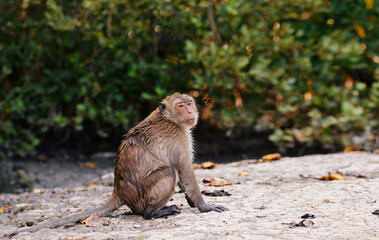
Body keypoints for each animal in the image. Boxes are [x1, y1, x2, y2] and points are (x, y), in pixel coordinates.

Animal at [8, 92, 229, 236]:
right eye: (181, 106)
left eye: (189, 103)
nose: (191, 111)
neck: (170, 119)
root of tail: (119, 191)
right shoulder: (179, 137)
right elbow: (184, 171)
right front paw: (204, 206)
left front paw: (196, 199)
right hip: (141, 195)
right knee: (167, 173)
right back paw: (152, 213)